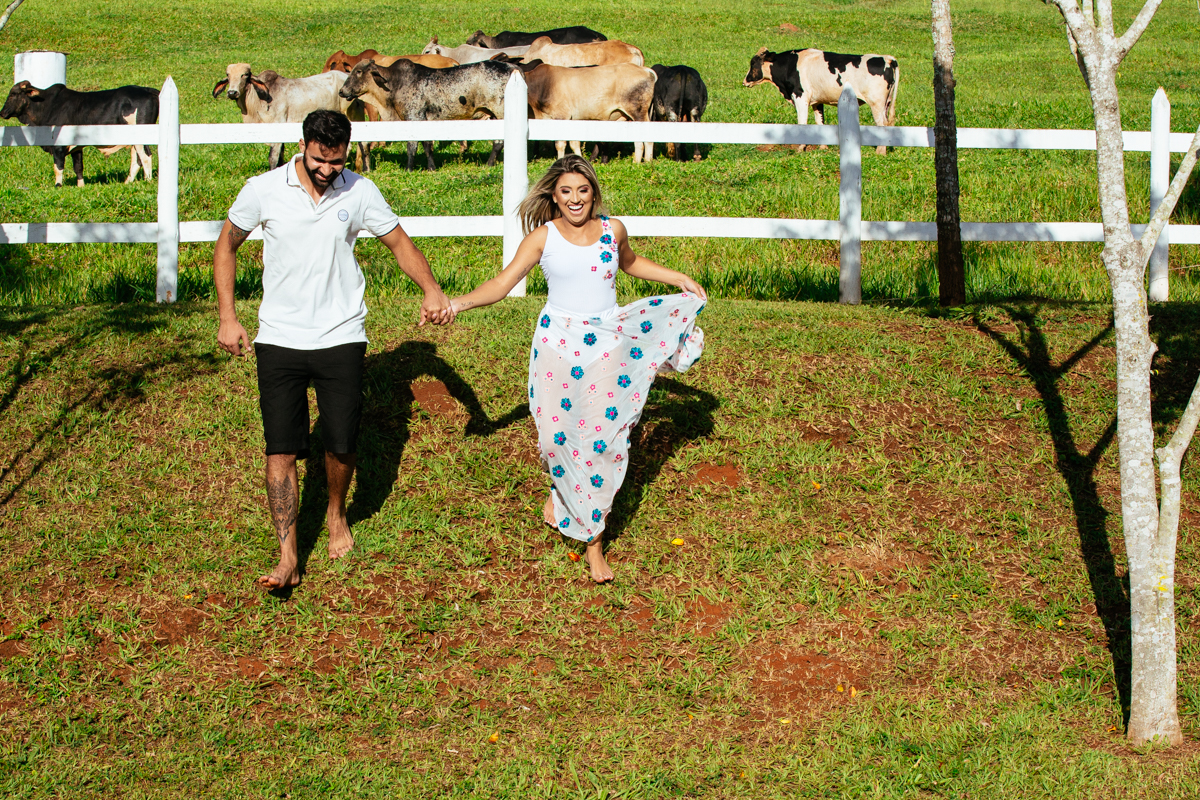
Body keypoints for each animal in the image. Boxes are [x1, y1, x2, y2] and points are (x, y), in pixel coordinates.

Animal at [0, 81, 157, 187]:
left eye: (13, 94)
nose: (2, 112)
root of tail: (147, 90)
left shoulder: (58, 145)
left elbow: (58, 167)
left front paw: (58, 186)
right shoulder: (76, 146)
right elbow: (78, 167)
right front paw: (80, 186)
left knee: (145, 156)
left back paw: (147, 181)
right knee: (136, 159)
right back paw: (127, 182)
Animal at [213, 63, 369, 171]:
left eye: (245, 74)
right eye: (228, 75)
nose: (232, 93)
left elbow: (273, 157)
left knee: (363, 143)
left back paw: (365, 169)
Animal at [338, 58, 514, 170]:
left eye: (359, 71)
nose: (341, 91)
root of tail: (512, 68)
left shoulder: (414, 117)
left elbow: (412, 146)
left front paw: (409, 169)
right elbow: (427, 146)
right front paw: (431, 168)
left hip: (500, 113)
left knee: (499, 142)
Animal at [513, 61, 657, 163]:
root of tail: (645, 70)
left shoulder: (562, 116)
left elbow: (560, 144)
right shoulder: (572, 120)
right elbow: (574, 143)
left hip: (639, 113)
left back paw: (646, 162)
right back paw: (636, 161)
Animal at [743, 47, 899, 155]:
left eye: (753, 63)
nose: (745, 81)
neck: (791, 65)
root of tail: (886, 58)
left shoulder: (800, 97)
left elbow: (802, 123)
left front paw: (801, 148)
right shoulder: (817, 102)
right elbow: (820, 122)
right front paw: (823, 147)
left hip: (876, 104)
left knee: (882, 125)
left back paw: (880, 152)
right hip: (886, 104)